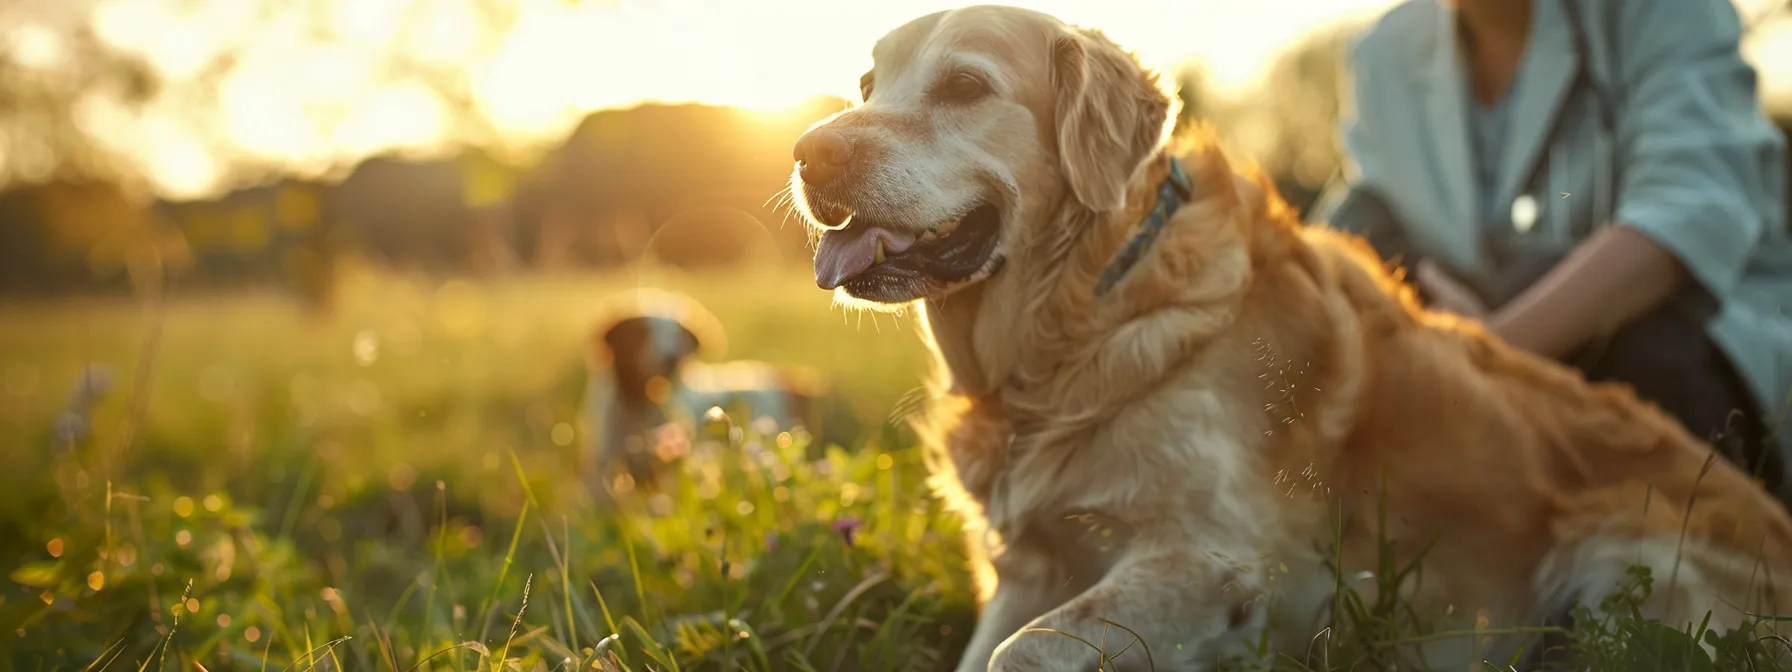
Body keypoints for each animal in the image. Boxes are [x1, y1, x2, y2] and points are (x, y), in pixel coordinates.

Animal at [792, 5, 1792, 672]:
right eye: (870, 86)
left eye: (965, 86)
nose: (808, 152)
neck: (1082, 321)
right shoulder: (1029, 572)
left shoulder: (1215, 559)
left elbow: (1027, 653)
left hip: (1626, 561)